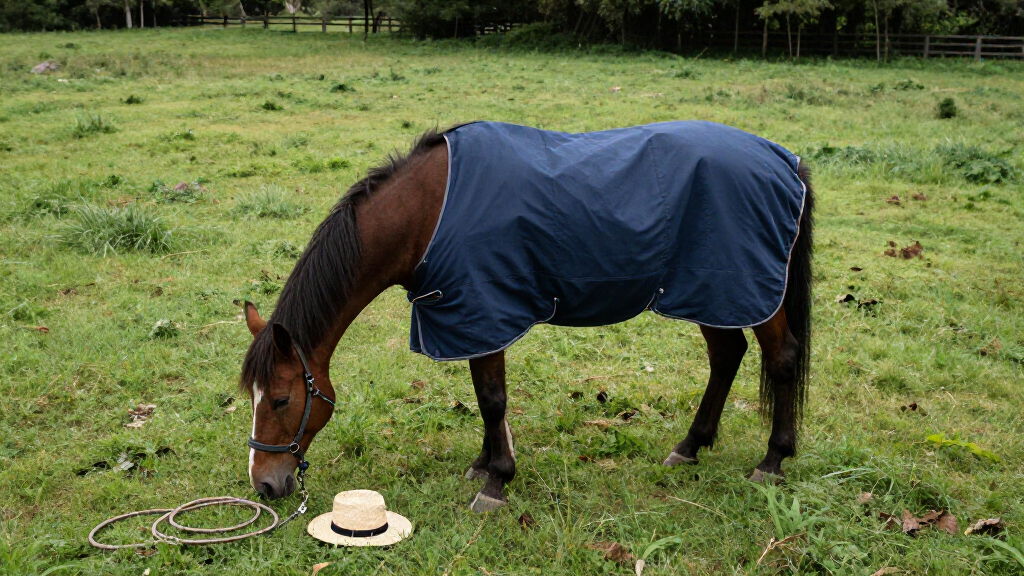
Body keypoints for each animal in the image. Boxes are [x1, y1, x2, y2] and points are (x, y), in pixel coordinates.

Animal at [240, 121, 814, 513]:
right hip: (713, 292)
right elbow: (484, 399)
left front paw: (497, 482)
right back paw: (690, 447)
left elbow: (491, 399)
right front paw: (484, 464)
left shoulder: (484, 308)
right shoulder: (472, 317)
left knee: (781, 358)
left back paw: (772, 461)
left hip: (742, 287)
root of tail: (782, 159)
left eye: (283, 399)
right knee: (728, 356)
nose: (264, 483)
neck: (431, 213)